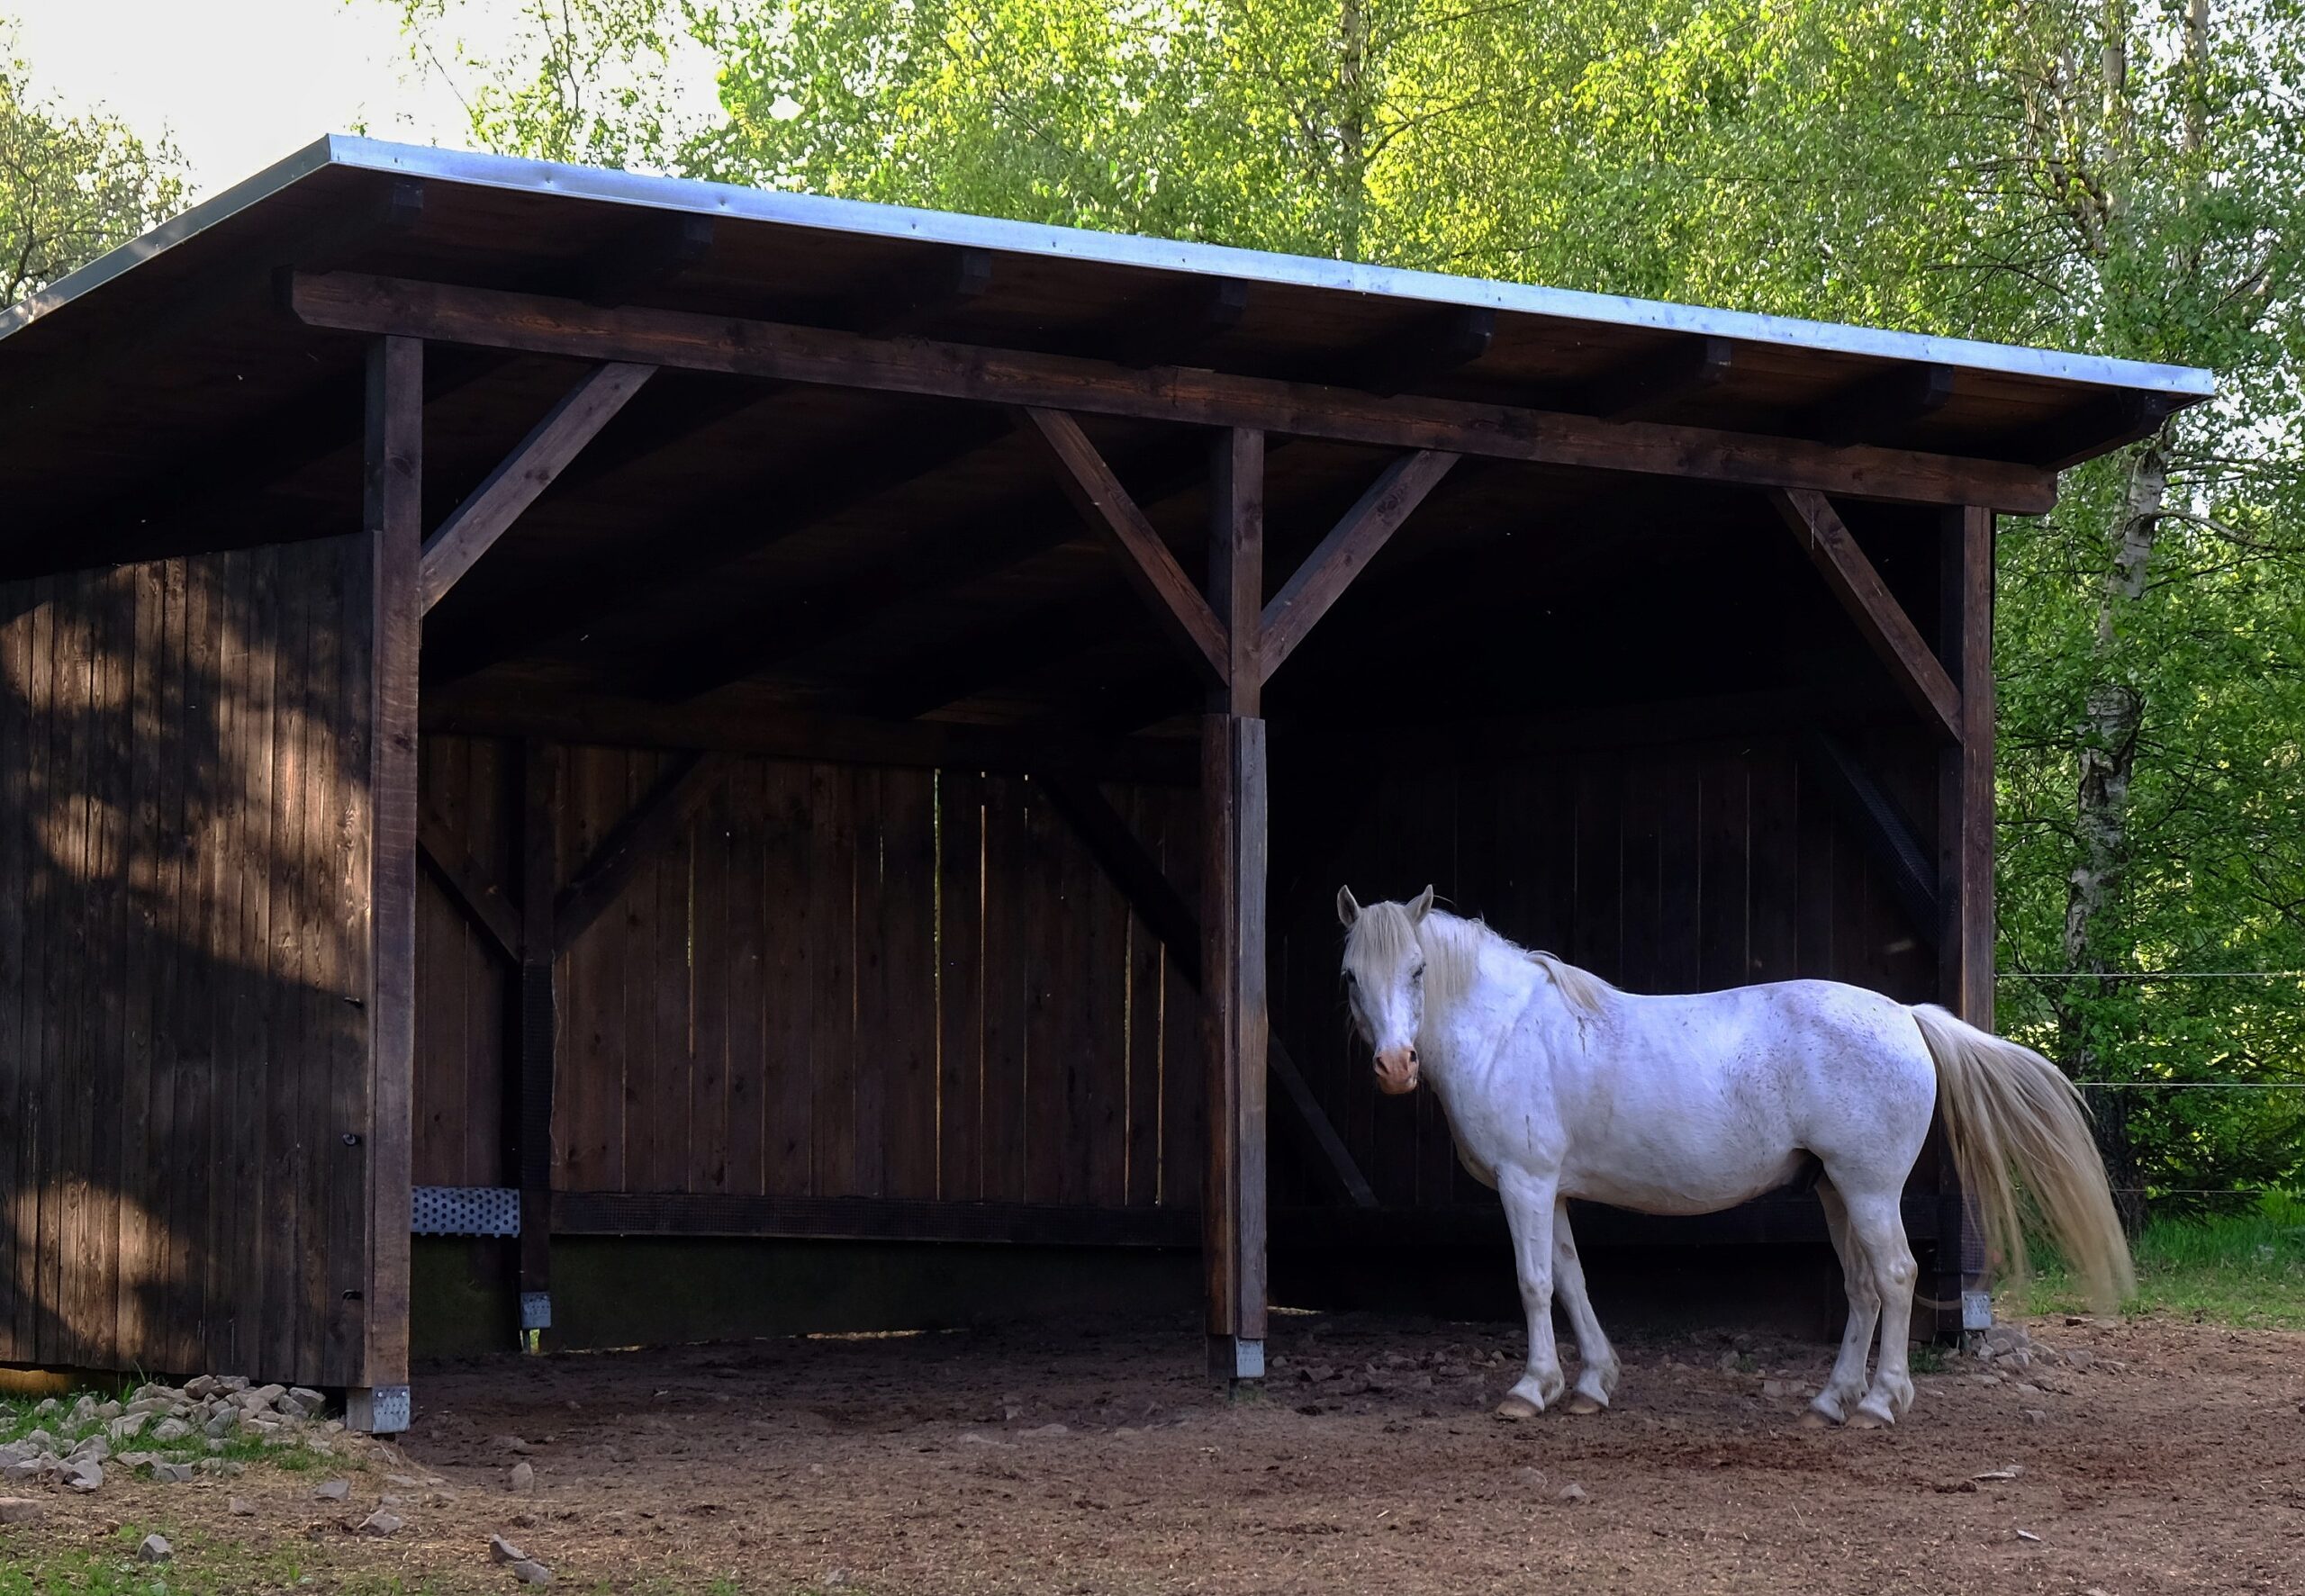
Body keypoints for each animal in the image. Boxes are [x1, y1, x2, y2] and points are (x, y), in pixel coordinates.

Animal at [1346, 888, 2129, 1428]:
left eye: (1418, 968)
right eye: (1351, 975)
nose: (1393, 1066)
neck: (1507, 1028)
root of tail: (1907, 1015)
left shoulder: (1526, 1184)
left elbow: (1535, 1283)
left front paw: (1530, 1389)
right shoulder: (1554, 1191)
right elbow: (1572, 1281)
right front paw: (1593, 1384)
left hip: (1869, 1189)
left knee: (1898, 1276)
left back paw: (1879, 1402)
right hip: (1834, 1191)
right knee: (1863, 1288)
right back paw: (1830, 1400)